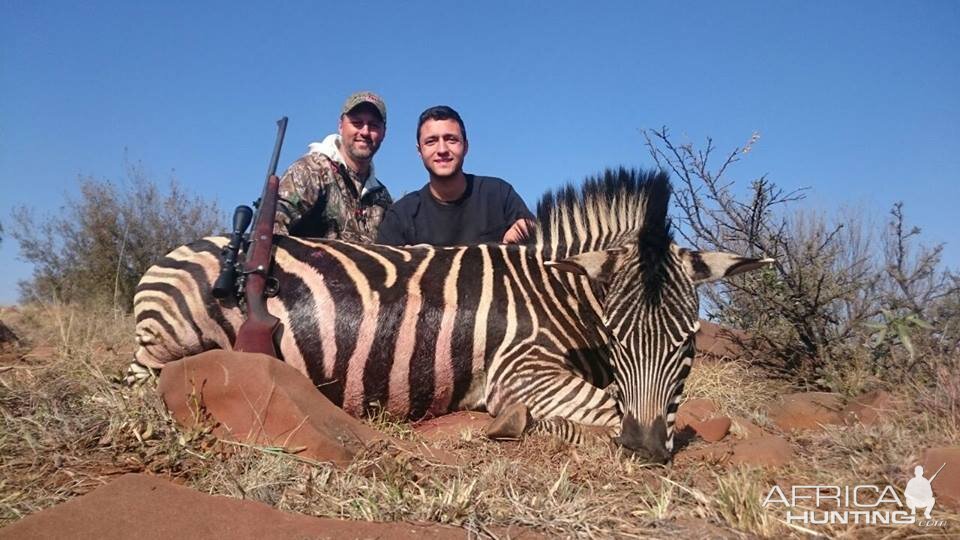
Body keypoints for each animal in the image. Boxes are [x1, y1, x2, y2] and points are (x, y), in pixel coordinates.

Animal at [133, 168, 772, 460]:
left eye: (687, 343)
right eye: (616, 336)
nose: (645, 448)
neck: (557, 295)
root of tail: (171, 255)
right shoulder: (522, 370)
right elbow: (602, 410)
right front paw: (515, 423)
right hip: (167, 341)